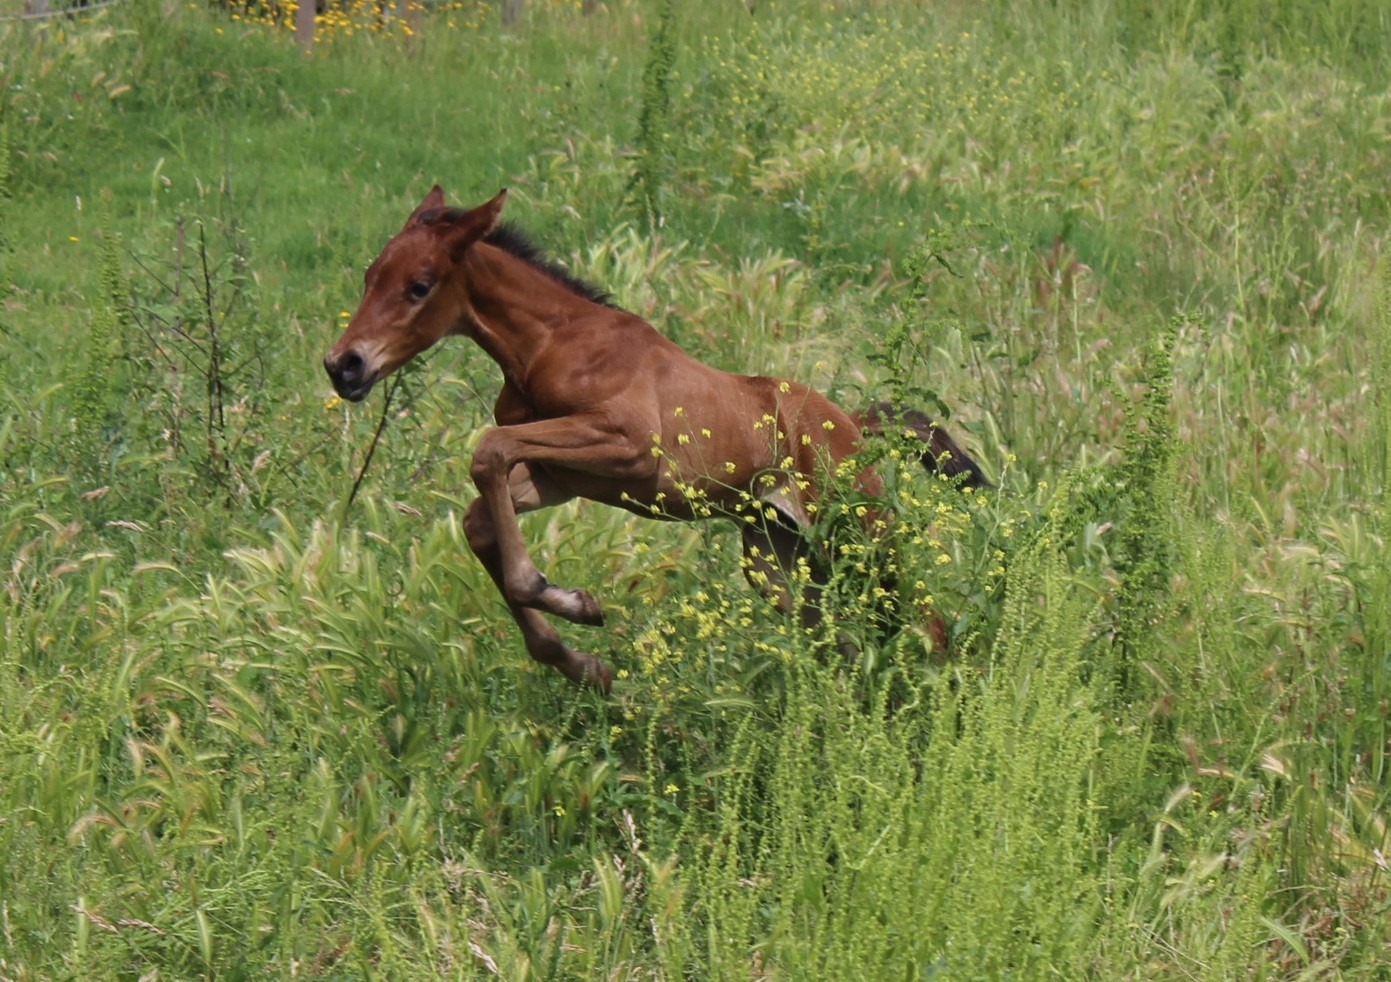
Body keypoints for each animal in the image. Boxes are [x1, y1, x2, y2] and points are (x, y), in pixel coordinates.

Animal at [324, 184, 984, 689]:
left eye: (420, 285)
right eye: (369, 277)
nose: (343, 366)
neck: (552, 343)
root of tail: (852, 424)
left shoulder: (629, 448)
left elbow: (487, 452)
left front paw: (563, 598)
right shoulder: (563, 475)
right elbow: (480, 518)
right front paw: (583, 658)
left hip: (859, 531)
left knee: (929, 624)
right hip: (776, 555)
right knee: (837, 641)